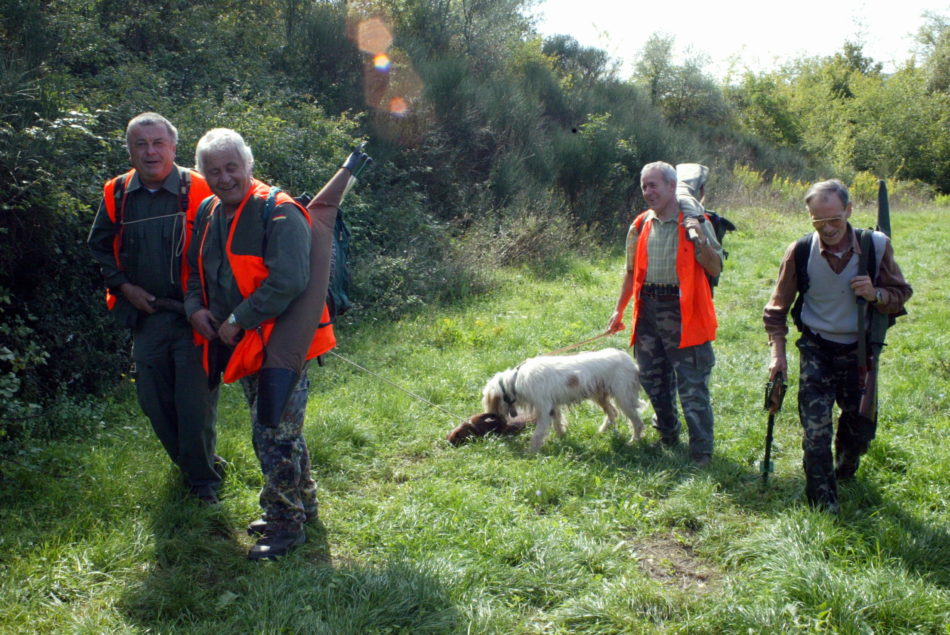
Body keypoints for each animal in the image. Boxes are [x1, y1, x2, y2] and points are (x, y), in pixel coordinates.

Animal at [484, 348, 648, 452]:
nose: (491, 418)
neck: (515, 382)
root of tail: (632, 363)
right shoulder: (553, 408)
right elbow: (558, 425)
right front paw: (562, 439)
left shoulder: (544, 410)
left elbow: (537, 435)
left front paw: (531, 452)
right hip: (600, 396)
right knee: (613, 413)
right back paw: (601, 432)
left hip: (624, 398)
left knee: (637, 423)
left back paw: (633, 442)